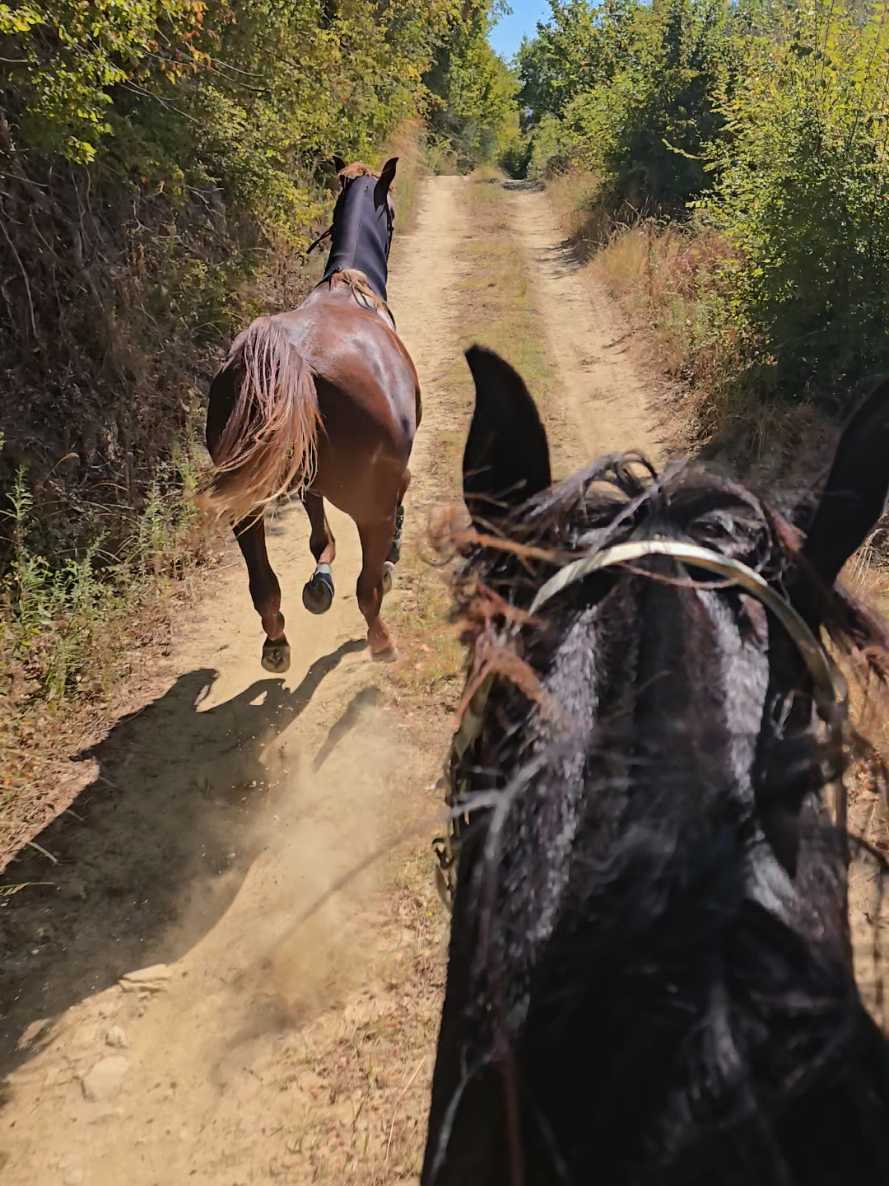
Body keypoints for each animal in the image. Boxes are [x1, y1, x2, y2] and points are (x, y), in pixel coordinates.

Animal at [202, 157, 420, 670]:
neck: (350, 288)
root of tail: (289, 355)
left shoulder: (307, 474)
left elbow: (318, 531)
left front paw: (319, 580)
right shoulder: (388, 477)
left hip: (247, 505)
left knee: (263, 585)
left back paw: (277, 640)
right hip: (367, 503)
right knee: (367, 588)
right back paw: (381, 637)